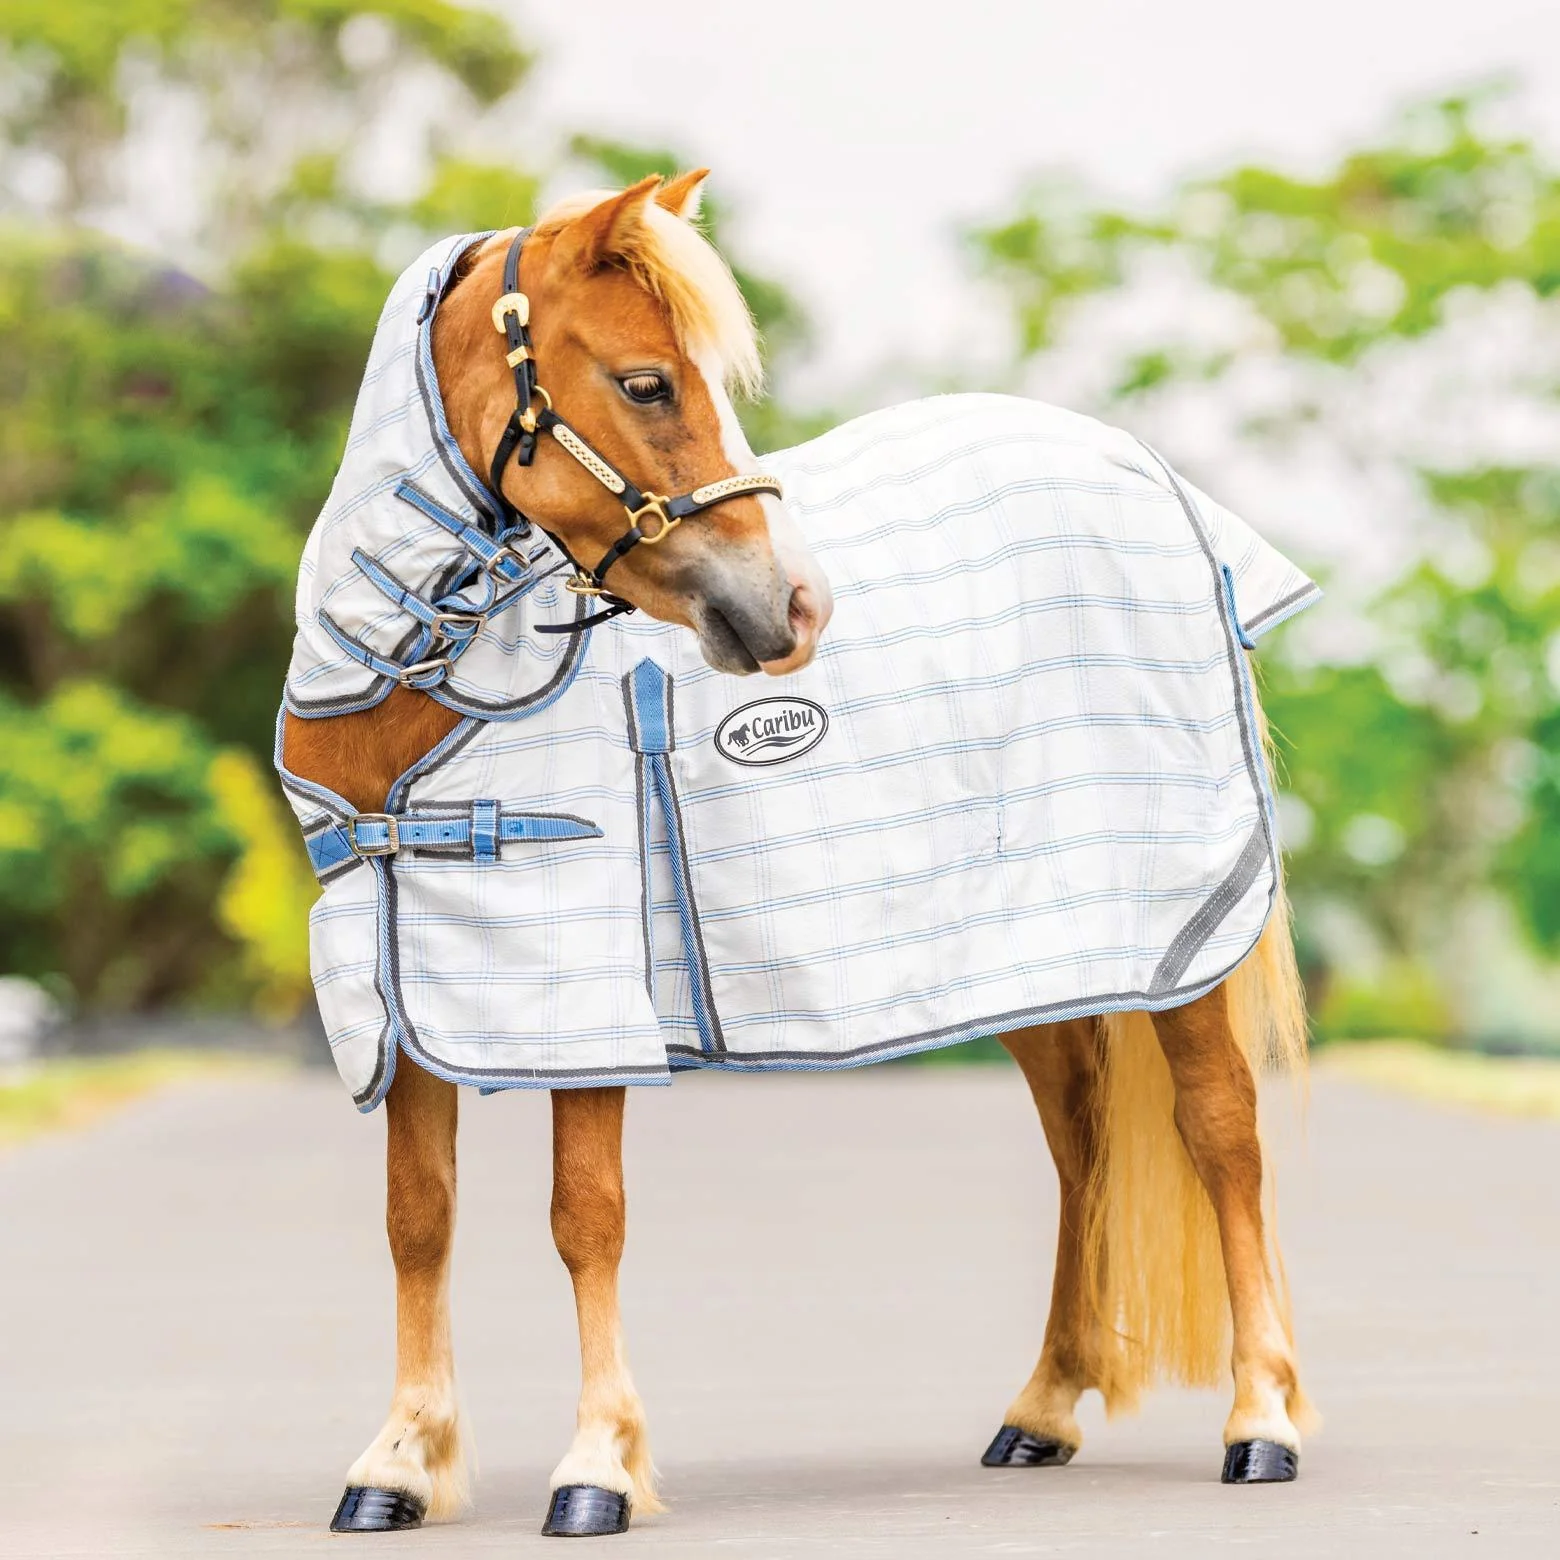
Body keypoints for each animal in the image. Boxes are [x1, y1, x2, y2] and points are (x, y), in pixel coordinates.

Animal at [279, 172, 1315, 1539]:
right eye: (647, 382)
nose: (796, 607)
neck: (412, 703)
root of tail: (1153, 477)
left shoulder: (583, 994)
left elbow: (584, 1218)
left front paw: (596, 1466)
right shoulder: (402, 997)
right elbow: (418, 1222)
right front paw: (397, 1462)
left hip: (1175, 941)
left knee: (1223, 1136)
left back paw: (1262, 1421)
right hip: (1033, 954)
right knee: (1081, 1145)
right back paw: (1041, 1408)